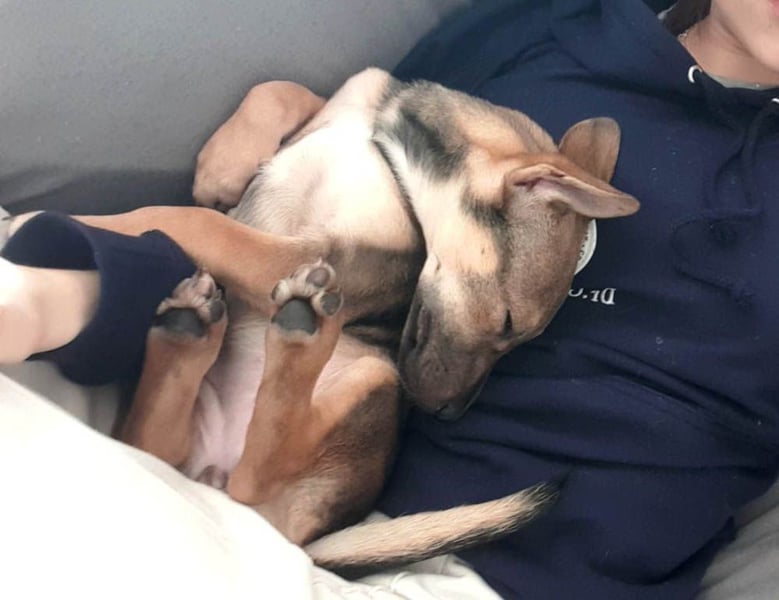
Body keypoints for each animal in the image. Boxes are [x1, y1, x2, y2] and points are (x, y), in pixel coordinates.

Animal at [2, 68, 639, 573]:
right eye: (507, 324)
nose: (447, 414)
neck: (389, 148)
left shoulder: (316, 257)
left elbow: (197, 222)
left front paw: (38, 221)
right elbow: (279, 90)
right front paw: (225, 165)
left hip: (372, 376)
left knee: (255, 472)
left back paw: (297, 335)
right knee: (155, 446)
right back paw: (188, 339)